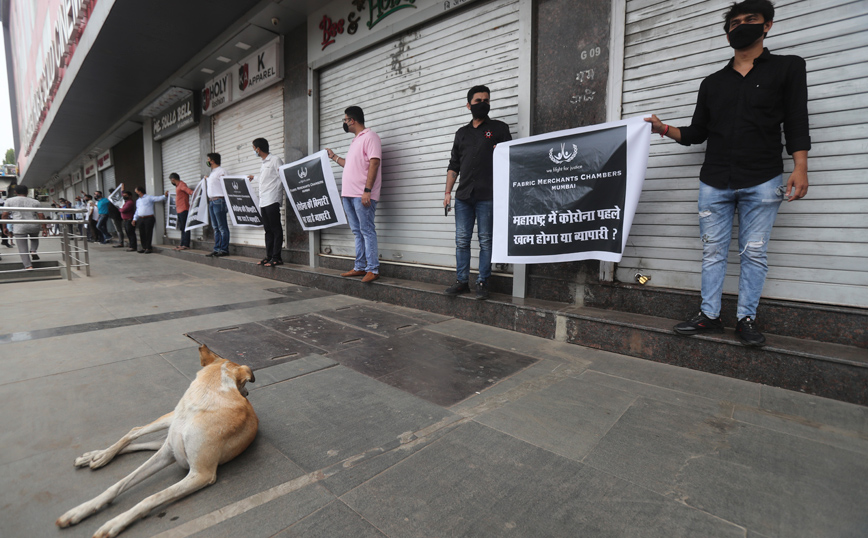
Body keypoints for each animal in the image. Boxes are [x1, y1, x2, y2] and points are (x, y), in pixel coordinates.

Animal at [55, 344, 254, 536]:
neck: (207, 394)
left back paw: (95, 456)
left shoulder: (199, 473)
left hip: (166, 445)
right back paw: (99, 456)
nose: (248, 394)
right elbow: (119, 484)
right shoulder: (180, 462)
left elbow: (151, 497)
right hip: (167, 422)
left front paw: (115, 522)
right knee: (134, 431)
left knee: (139, 443)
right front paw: (81, 510)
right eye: (244, 382)